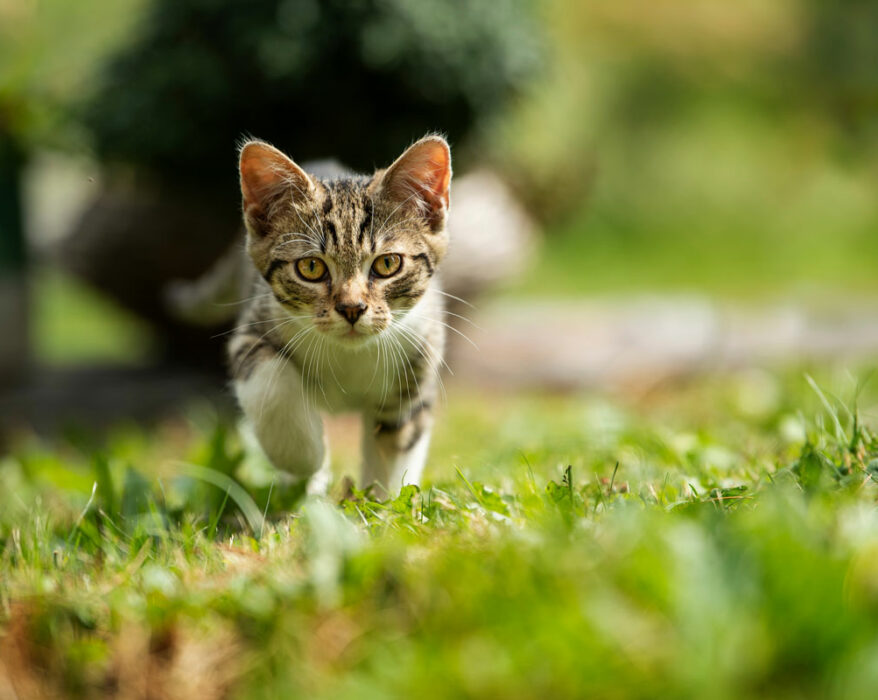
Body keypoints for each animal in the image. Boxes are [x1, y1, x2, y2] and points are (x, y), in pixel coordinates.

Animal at [227, 135, 454, 498]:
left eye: (388, 263)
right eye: (310, 267)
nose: (352, 308)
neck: (349, 357)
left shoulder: (422, 351)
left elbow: (399, 436)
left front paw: (383, 502)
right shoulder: (252, 326)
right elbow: (270, 385)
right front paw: (305, 458)